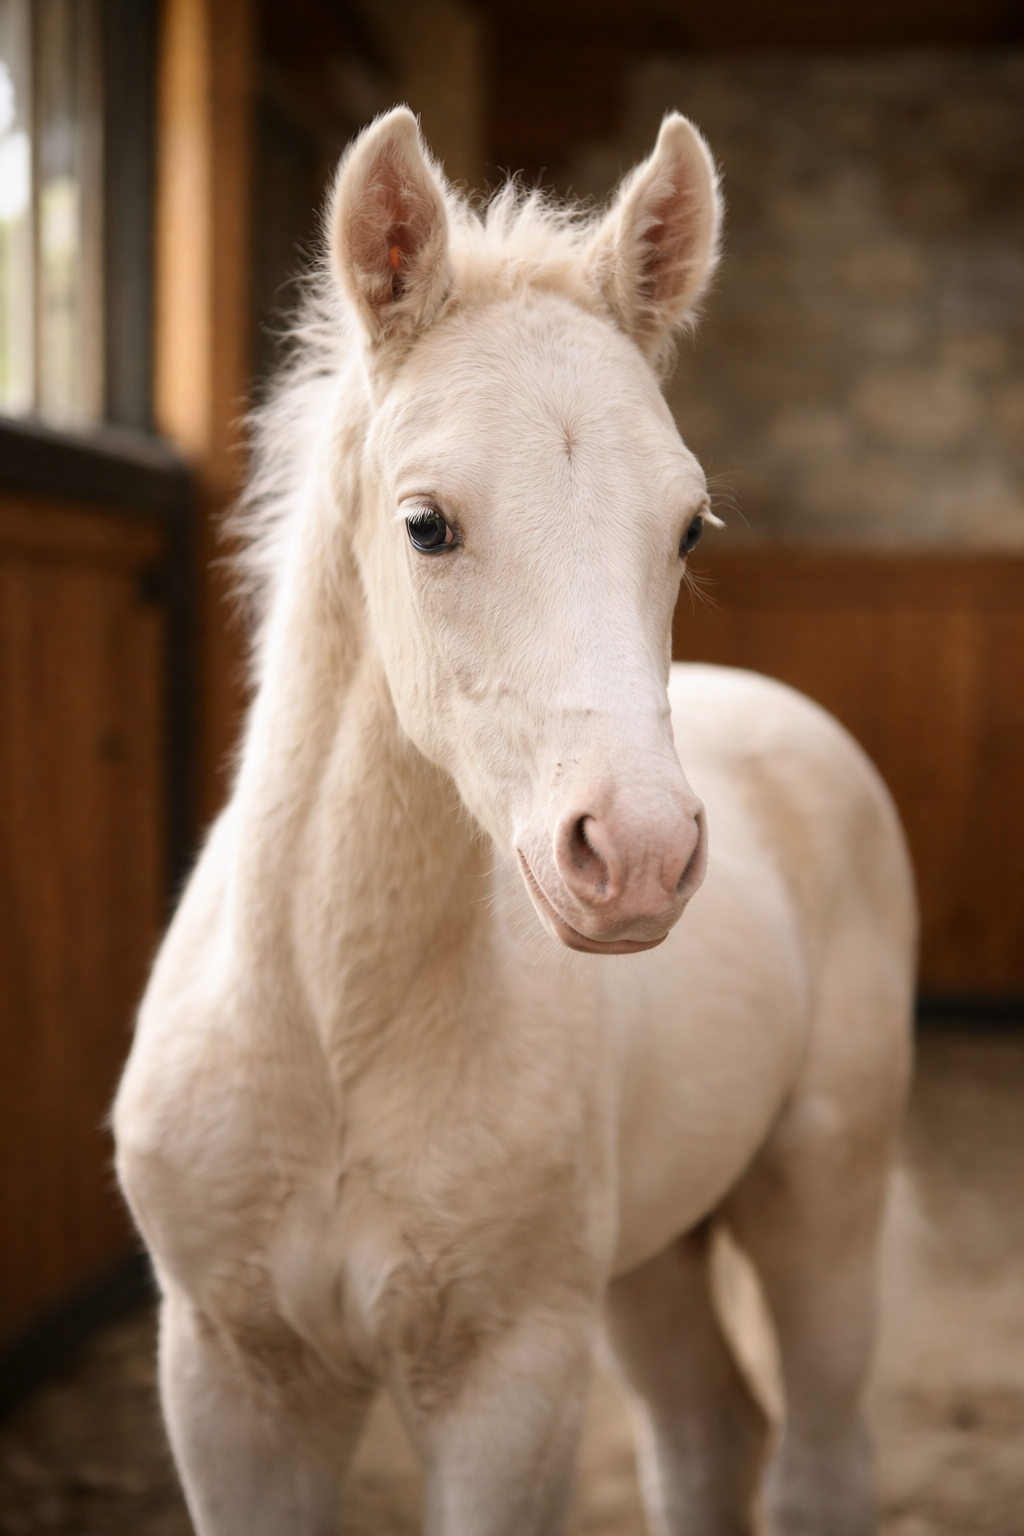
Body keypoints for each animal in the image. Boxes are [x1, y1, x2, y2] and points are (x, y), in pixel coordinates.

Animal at [113, 107, 916, 1536]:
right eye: (426, 523)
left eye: (689, 527)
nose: (639, 855)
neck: (334, 1037)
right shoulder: (232, 1377)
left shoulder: (512, 1378)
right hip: (651, 1256)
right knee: (709, 1432)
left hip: (817, 1199)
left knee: (818, 1455)